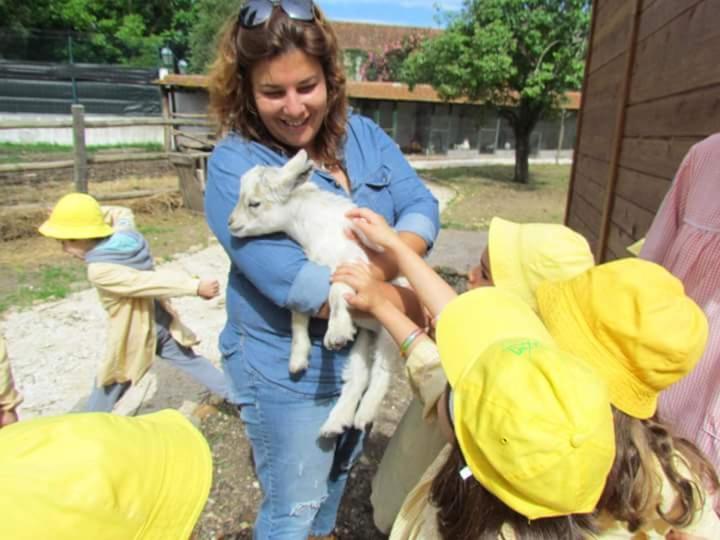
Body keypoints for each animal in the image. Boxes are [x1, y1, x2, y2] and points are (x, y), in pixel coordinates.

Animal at [228, 150, 400, 436]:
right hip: (366, 335)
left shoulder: (354, 261)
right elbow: (299, 312)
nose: (230, 223)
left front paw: (336, 332)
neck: (315, 227)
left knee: (382, 372)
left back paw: (363, 415)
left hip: (390, 328)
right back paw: (336, 422)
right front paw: (298, 358)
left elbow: (336, 291)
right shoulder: (310, 269)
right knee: (358, 375)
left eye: (254, 203)